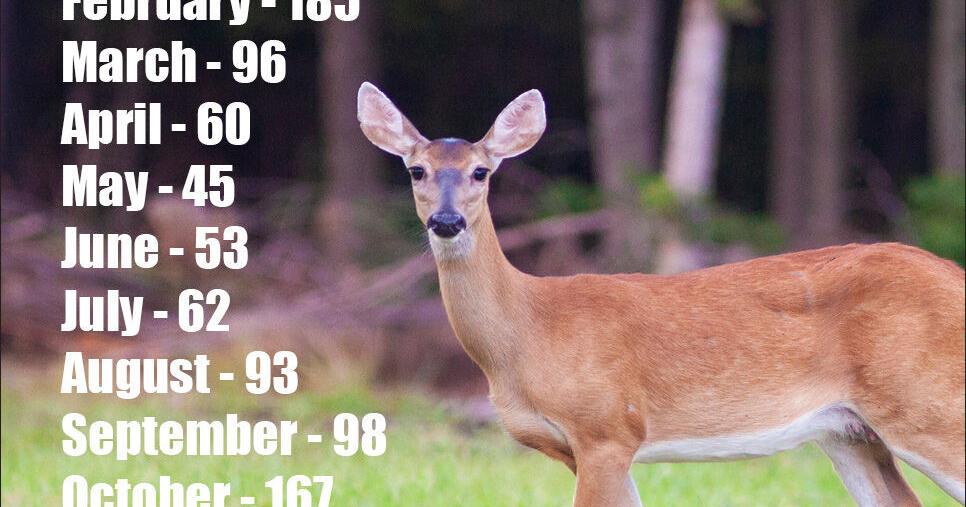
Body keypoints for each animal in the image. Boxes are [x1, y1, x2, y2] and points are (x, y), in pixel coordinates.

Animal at [356, 82, 965, 507]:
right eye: (416, 170)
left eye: (481, 172)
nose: (447, 222)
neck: (529, 331)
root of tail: (955, 276)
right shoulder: (585, 449)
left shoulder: (606, 427)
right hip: (851, 432)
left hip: (927, 402)